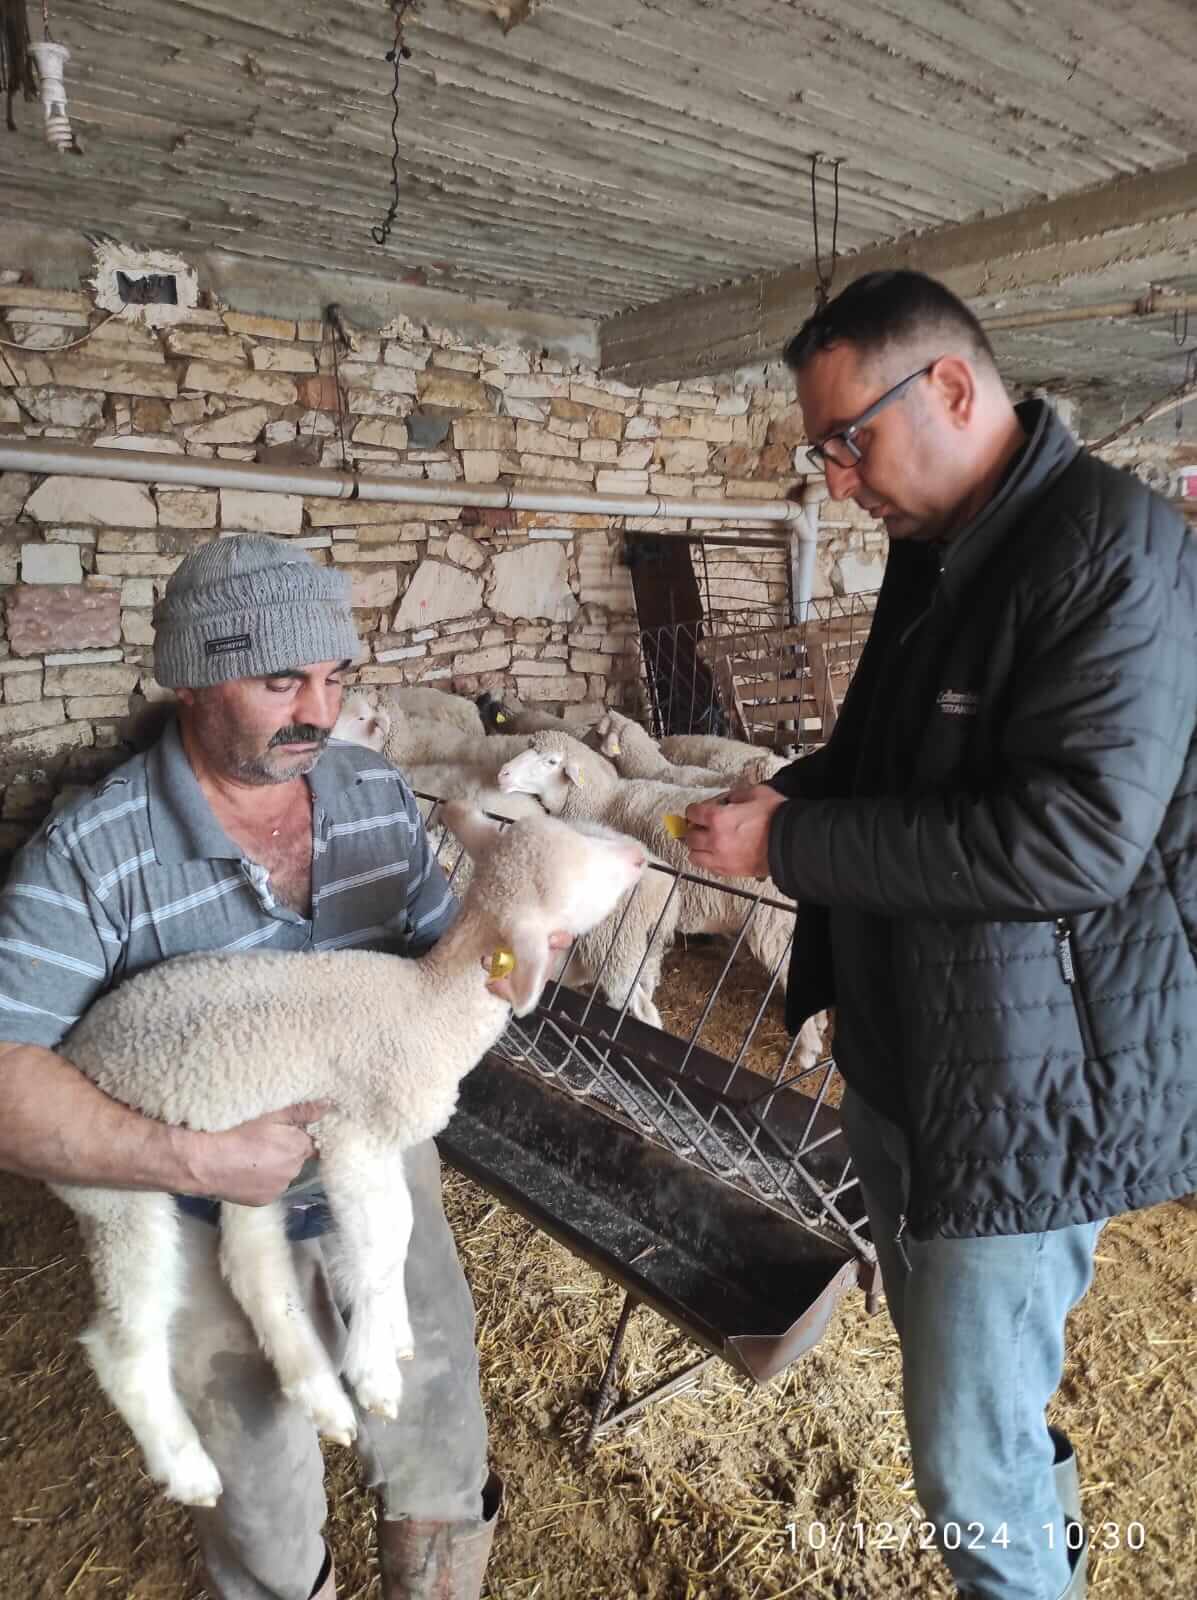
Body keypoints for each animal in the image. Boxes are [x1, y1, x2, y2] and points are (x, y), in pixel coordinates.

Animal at [49, 806, 646, 1504]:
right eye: (585, 866)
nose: (639, 856)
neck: (434, 1006)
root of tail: (73, 1049)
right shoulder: (351, 1137)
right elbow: (384, 1240)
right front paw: (373, 1367)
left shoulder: (371, 1143)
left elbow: (396, 1232)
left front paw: (391, 1329)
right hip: (117, 1189)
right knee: (124, 1342)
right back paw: (188, 1466)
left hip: (242, 1159)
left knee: (250, 1263)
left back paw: (317, 1394)